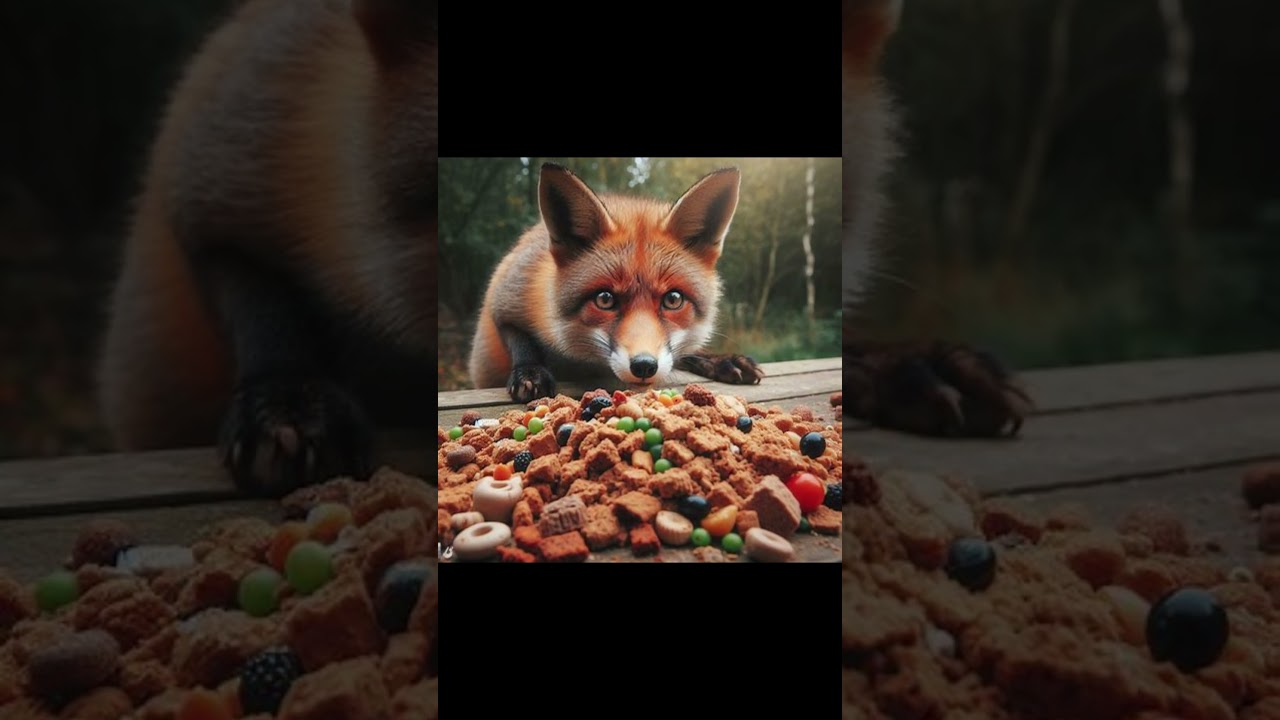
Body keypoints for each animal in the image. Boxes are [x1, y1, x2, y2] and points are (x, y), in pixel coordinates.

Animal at [468, 164, 764, 403]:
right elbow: (521, 341)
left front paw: (719, 359)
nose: (644, 366)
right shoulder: (505, 297)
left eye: (673, 299)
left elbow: (685, 355)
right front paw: (530, 373)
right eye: (605, 299)